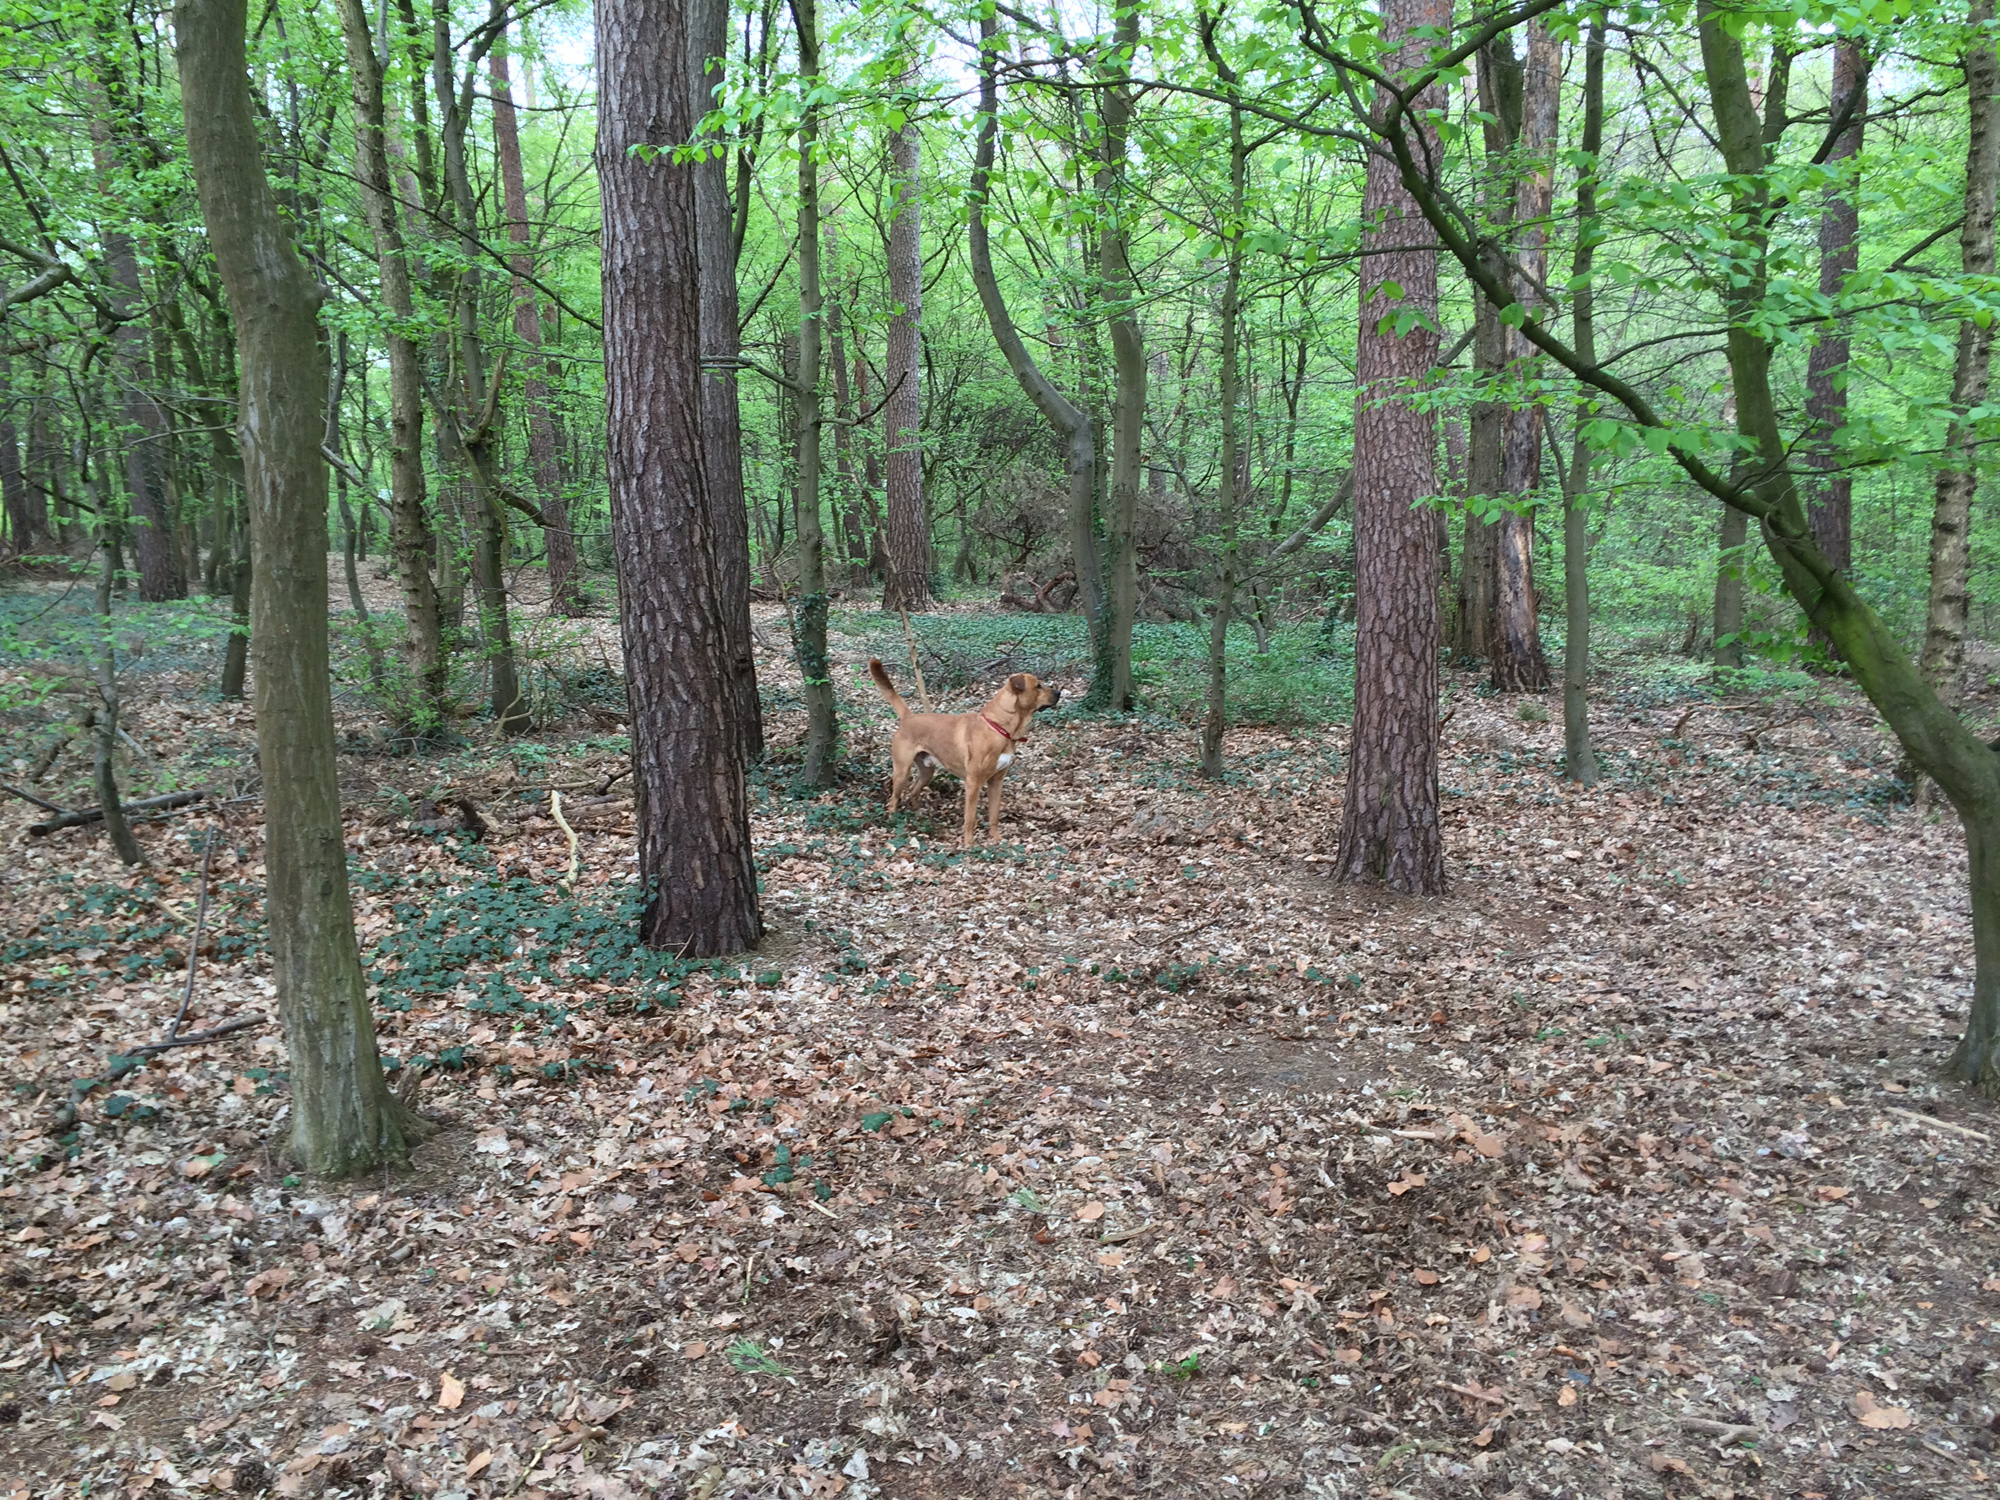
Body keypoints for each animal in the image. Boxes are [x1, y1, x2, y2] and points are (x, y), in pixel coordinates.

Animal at [872, 656, 1064, 848]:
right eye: (1038, 686)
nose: (1059, 693)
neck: (999, 727)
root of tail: (909, 717)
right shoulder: (973, 783)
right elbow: (970, 818)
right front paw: (969, 844)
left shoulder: (997, 781)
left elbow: (994, 815)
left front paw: (997, 840)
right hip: (902, 771)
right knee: (893, 799)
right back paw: (893, 821)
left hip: (927, 771)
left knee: (913, 791)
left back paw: (918, 814)